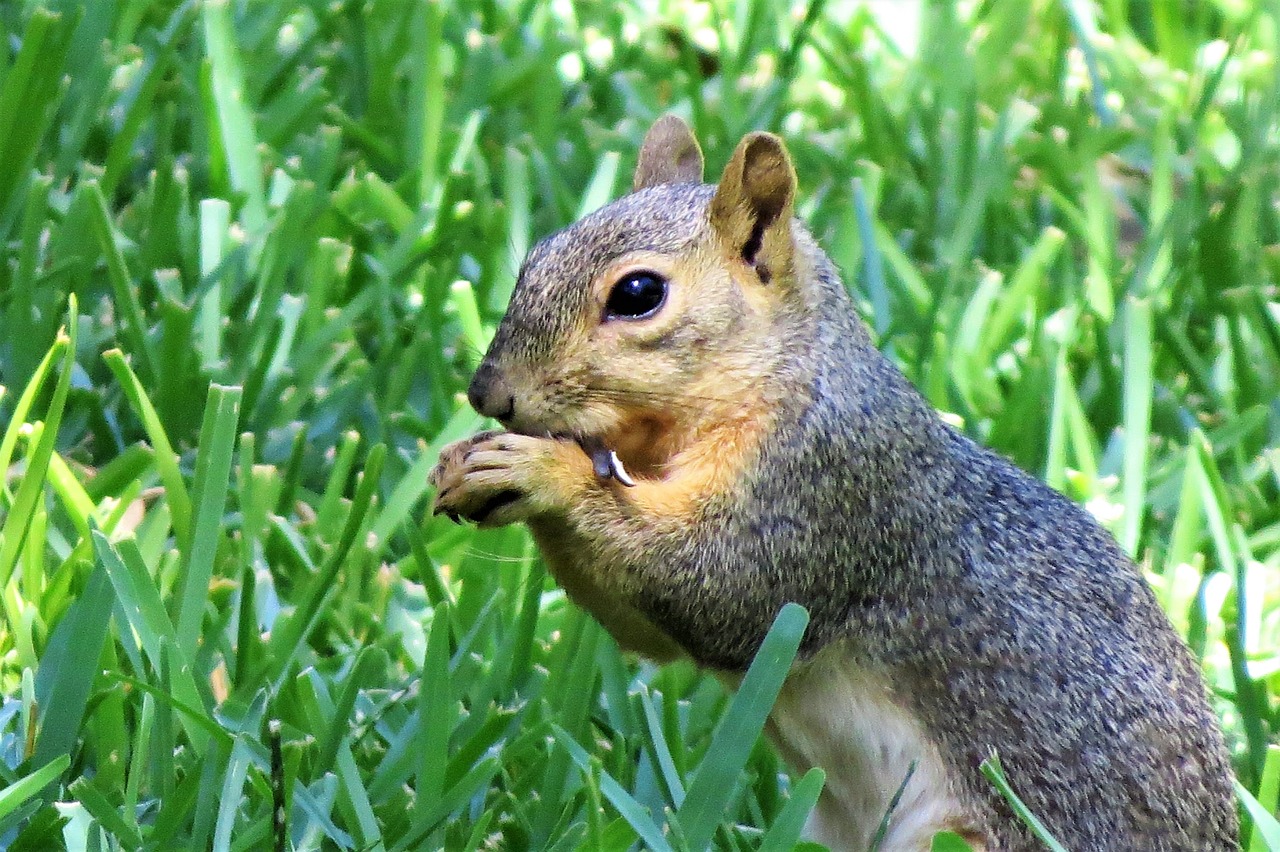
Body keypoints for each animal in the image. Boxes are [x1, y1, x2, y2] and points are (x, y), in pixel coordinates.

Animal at [430, 116, 1239, 844]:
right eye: (536, 256)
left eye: (637, 294)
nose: (488, 393)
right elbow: (649, 630)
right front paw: (466, 464)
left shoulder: (825, 487)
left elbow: (720, 589)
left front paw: (542, 469)